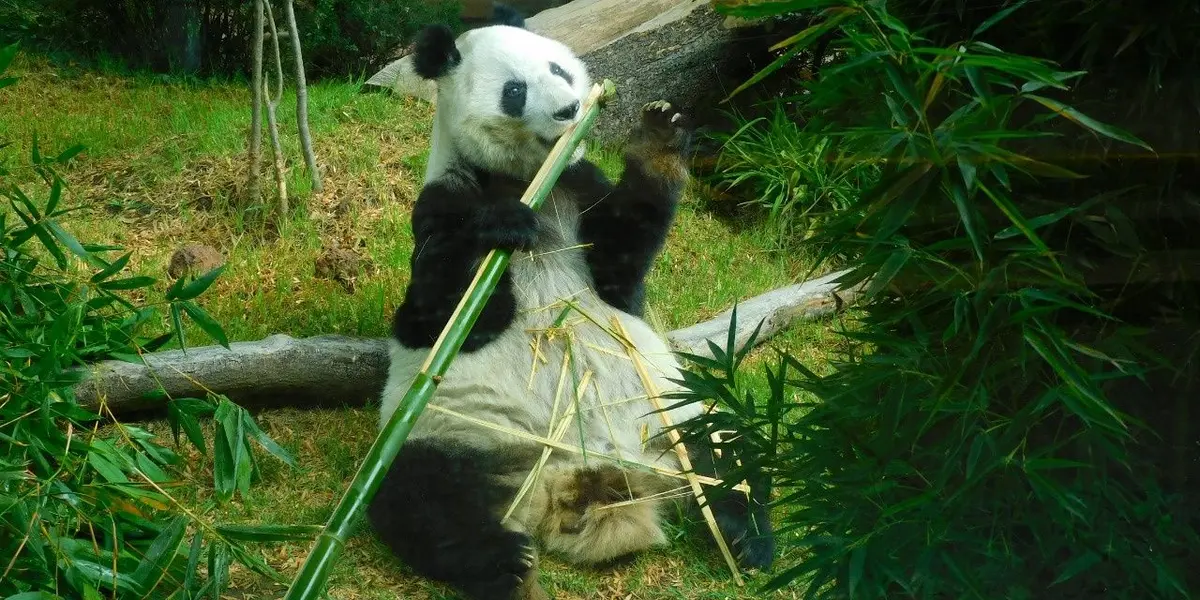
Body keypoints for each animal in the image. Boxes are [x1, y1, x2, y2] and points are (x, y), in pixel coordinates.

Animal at [368, 20, 775, 600]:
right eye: (515, 91)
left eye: (559, 69)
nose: (569, 109)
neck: (530, 178)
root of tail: (577, 477)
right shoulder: (442, 201)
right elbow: (437, 316)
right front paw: (501, 225)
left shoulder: (580, 190)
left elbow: (620, 275)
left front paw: (661, 135)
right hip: (455, 433)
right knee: (418, 497)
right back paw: (505, 562)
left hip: (675, 413)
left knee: (733, 444)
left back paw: (746, 535)